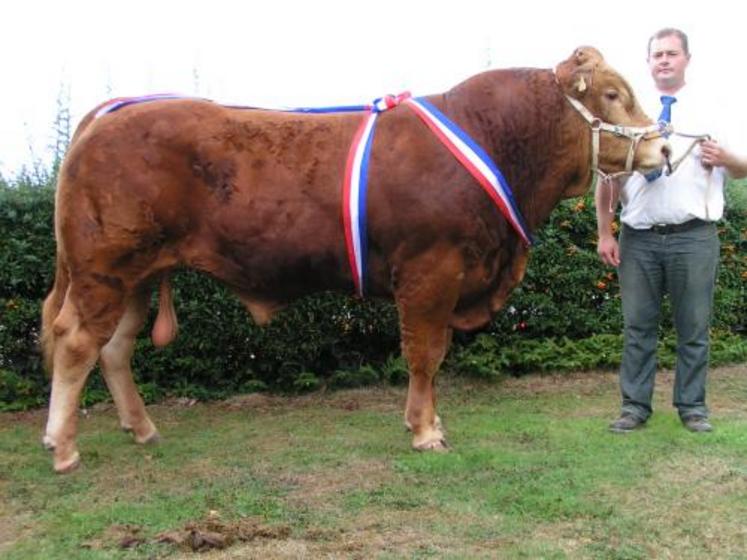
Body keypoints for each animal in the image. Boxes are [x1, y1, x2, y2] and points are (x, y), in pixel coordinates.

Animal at [43, 47, 668, 472]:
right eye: (612, 95)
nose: (663, 145)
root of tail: (110, 114)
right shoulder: (430, 271)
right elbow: (425, 354)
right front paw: (425, 431)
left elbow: (432, 355)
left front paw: (428, 421)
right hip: (104, 270)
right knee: (75, 344)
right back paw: (65, 447)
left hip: (135, 275)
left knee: (114, 349)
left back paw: (141, 428)